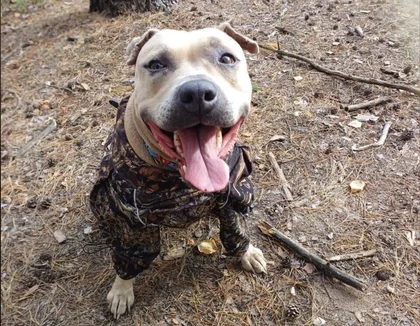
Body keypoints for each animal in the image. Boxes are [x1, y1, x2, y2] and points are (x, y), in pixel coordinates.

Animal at [89, 22, 268, 318]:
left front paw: (246, 252)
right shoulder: (128, 219)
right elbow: (129, 254)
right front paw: (122, 289)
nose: (196, 93)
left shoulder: (233, 194)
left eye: (226, 58)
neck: (177, 178)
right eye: (155, 64)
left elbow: (235, 230)